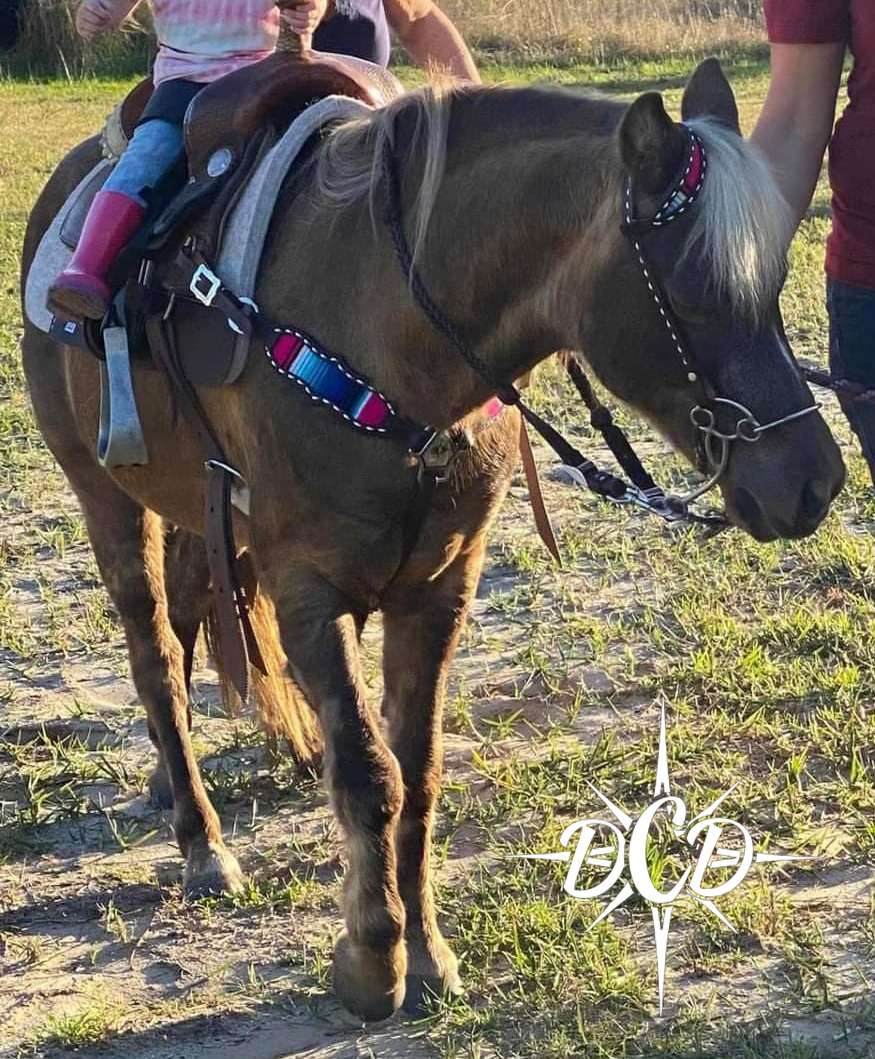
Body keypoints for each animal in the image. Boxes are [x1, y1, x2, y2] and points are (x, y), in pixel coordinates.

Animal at [20, 58, 845, 1021]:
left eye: (774, 278)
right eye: (691, 292)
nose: (815, 479)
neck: (383, 332)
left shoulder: (437, 590)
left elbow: (415, 769)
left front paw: (424, 952)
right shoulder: (309, 590)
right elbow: (369, 773)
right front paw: (371, 959)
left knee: (193, 617)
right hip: (107, 498)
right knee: (153, 652)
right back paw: (200, 840)